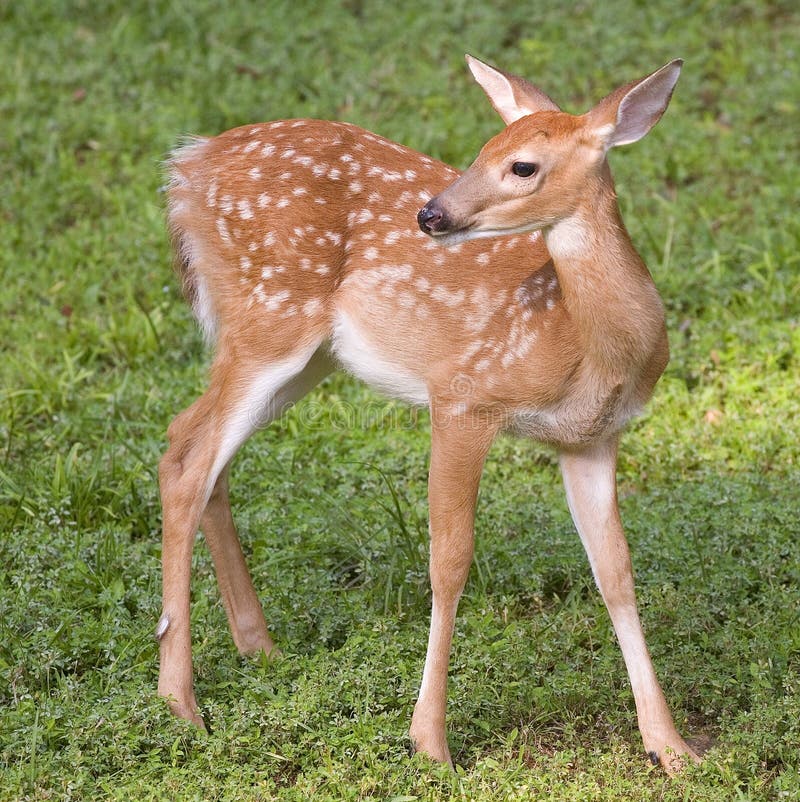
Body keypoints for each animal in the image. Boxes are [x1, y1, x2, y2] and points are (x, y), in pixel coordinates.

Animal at [157, 55, 699, 774]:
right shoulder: (464, 395)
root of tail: (186, 167)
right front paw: (430, 742)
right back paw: (180, 703)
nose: (432, 214)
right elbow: (450, 561)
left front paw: (671, 745)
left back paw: (258, 649)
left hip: (302, 356)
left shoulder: (591, 439)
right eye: (480, 150)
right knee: (187, 461)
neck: (583, 342)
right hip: (270, 317)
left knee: (193, 444)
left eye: (521, 165)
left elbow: (616, 573)